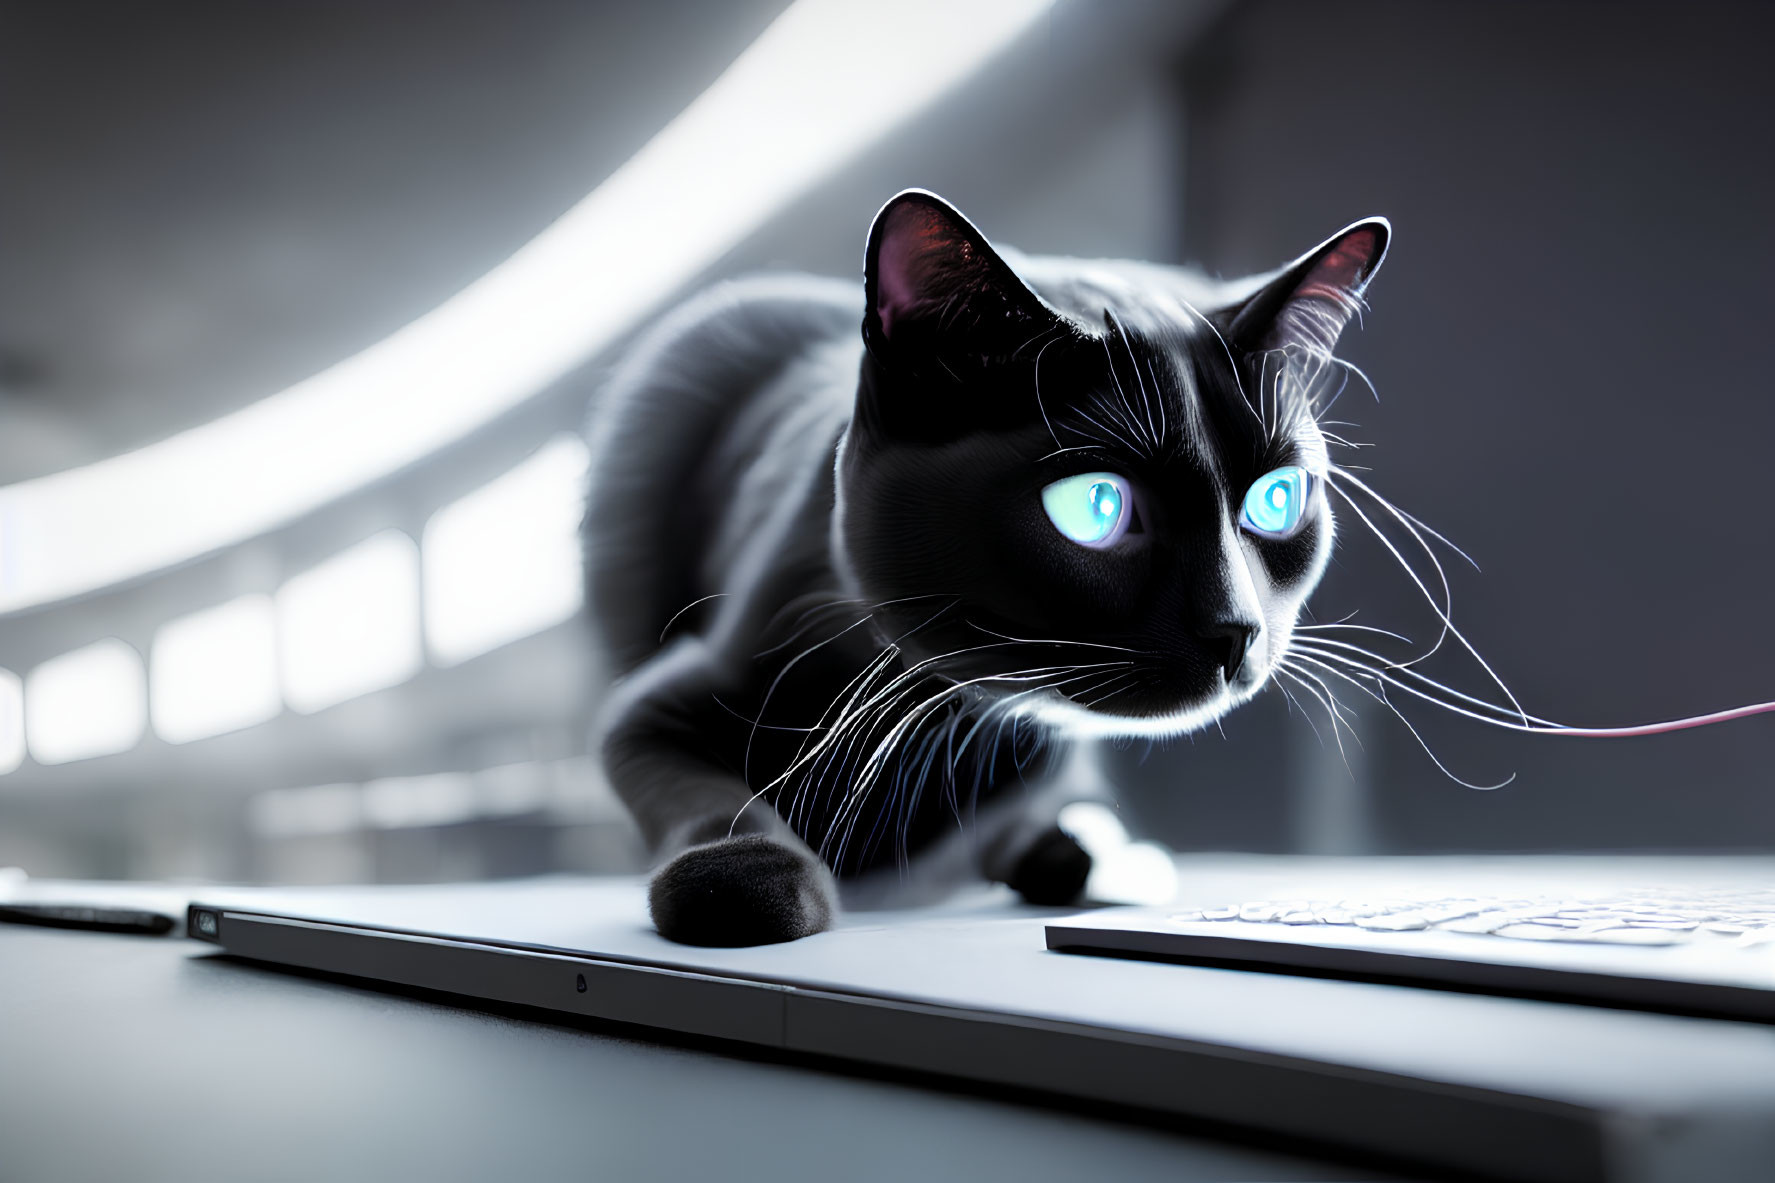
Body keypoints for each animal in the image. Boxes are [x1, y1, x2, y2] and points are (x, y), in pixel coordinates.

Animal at [582, 195, 1384, 952]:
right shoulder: (665, 698)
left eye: (1276, 500)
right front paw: (750, 879)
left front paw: (1096, 854)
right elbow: (703, 796)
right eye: (1096, 506)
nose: (1235, 628)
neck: (944, 730)